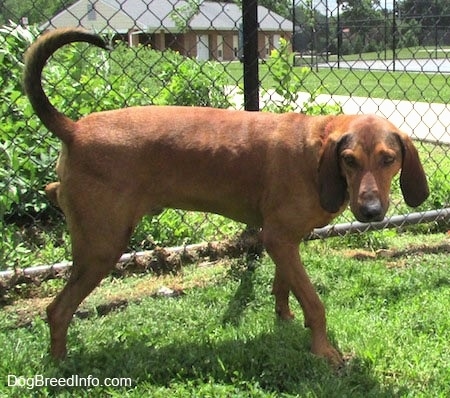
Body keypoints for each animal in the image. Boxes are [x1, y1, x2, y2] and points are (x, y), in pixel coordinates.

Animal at [23, 26, 428, 366]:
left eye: (388, 159)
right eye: (349, 160)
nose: (371, 211)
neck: (315, 152)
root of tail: (74, 129)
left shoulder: (282, 240)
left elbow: (283, 286)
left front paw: (284, 320)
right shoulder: (279, 238)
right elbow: (314, 304)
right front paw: (323, 351)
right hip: (102, 247)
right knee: (57, 310)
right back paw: (60, 365)